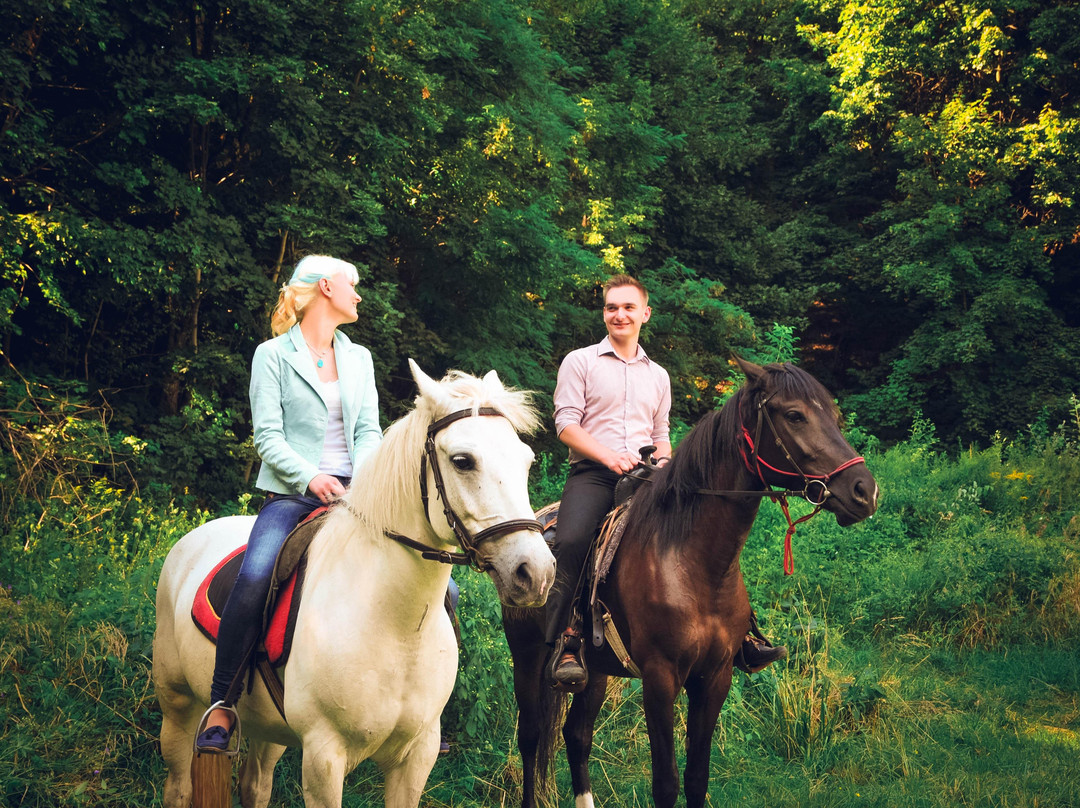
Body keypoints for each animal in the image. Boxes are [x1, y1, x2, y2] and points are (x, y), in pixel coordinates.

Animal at [153, 362, 557, 808]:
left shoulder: (417, 756)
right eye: (463, 461)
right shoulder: (323, 758)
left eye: (526, 461)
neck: (394, 626)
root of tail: (191, 540)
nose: (536, 573)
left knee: (256, 785)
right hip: (177, 705)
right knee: (177, 784)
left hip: (268, 729)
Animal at [503, 360, 876, 808]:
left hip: (594, 673)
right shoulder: (660, 679)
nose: (864, 491)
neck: (695, 566)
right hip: (526, 655)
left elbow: (697, 777)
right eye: (794, 415)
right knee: (530, 737)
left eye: (834, 416)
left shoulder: (715, 677)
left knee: (577, 736)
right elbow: (666, 784)